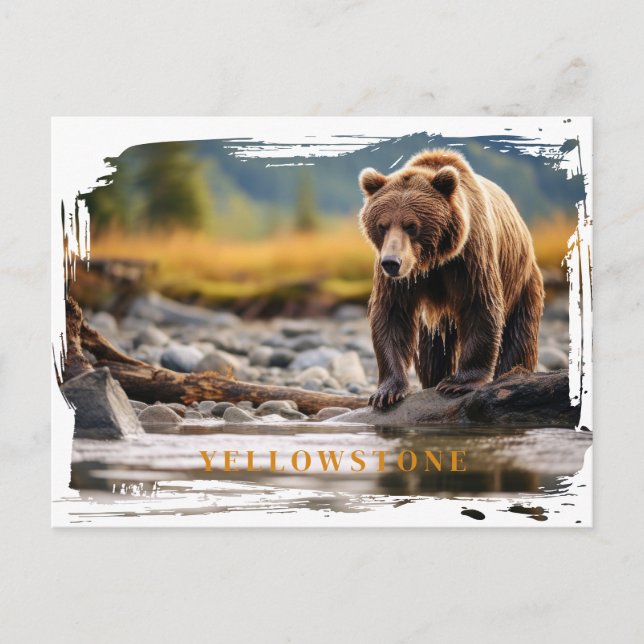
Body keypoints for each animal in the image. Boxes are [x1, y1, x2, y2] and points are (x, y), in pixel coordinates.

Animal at [358, 148, 544, 408]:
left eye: (411, 225)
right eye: (382, 225)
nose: (392, 262)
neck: (433, 260)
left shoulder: (470, 256)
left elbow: (480, 305)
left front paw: (459, 383)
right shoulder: (401, 279)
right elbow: (391, 314)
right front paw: (387, 391)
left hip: (523, 280)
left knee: (519, 335)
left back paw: (513, 373)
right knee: (432, 352)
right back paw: (433, 379)